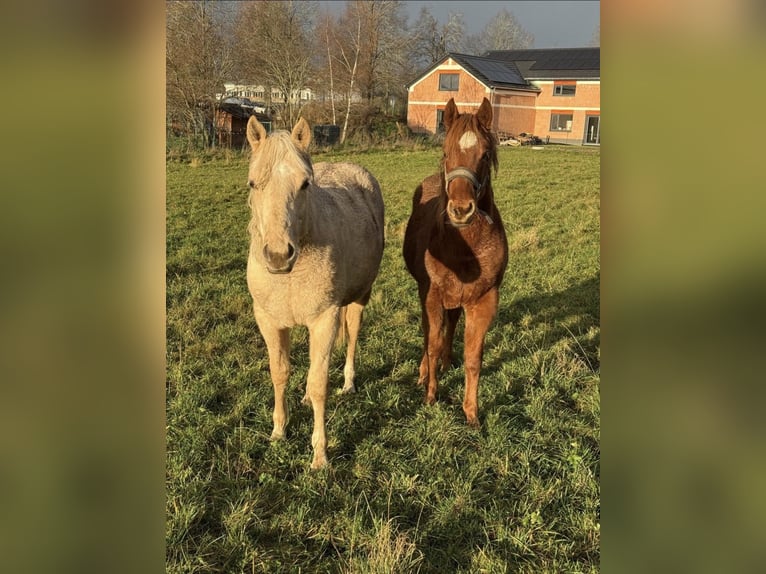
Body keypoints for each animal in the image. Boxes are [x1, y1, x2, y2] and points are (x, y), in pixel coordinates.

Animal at [244, 116, 384, 469]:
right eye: (253, 184)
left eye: (305, 184)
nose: (278, 255)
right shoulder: (269, 321)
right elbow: (280, 373)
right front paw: (278, 431)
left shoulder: (325, 319)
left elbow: (320, 383)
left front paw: (320, 454)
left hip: (358, 299)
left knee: (351, 338)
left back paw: (348, 383)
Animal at [403, 97, 508, 427]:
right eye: (445, 152)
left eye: (485, 155)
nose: (461, 210)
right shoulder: (432, 295)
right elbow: (432, 344)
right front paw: (430, 395)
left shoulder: (483, 300)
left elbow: (473, 358)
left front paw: (471, 412)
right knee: (430, 335)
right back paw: (424, 373)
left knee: (450, 325)